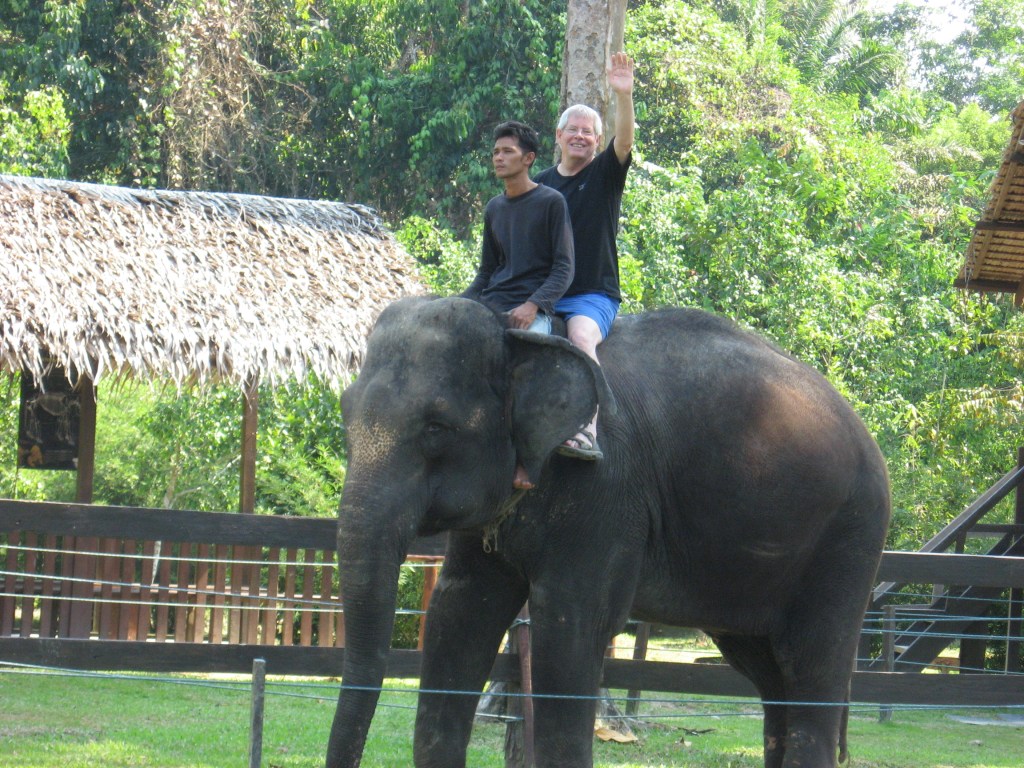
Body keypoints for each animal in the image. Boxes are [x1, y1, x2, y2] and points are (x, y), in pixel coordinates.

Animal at [326, 295, 890, 768]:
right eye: (345, 414)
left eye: (436, 428)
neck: (521, 337)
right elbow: (458, 614)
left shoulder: (605, 490)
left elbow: (571, 626)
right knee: (771, 674)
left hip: (849, 536)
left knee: (812, 665)